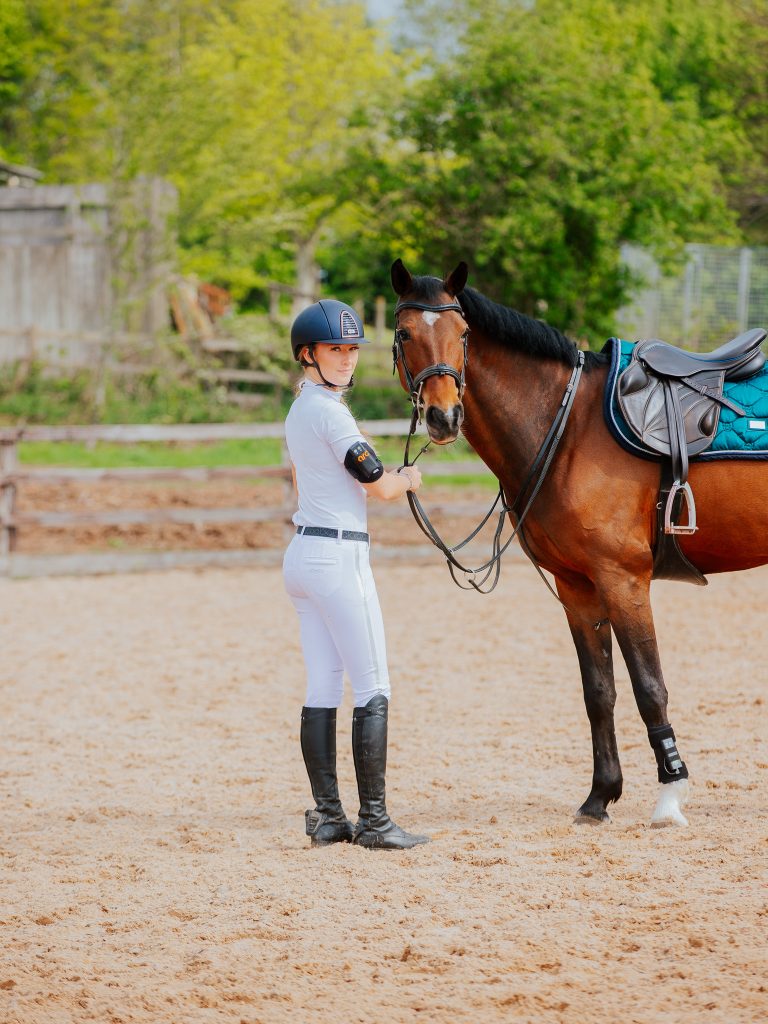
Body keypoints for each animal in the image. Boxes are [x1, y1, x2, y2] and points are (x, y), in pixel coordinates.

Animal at [390, 257, 768, 827]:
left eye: (463, 334)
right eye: (404, 333)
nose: (443, 415)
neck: (568, 426)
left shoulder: (623, 578)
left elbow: (648, 687)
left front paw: (670, 796)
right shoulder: (577, 587)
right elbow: (599, 691)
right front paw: (600, 797)